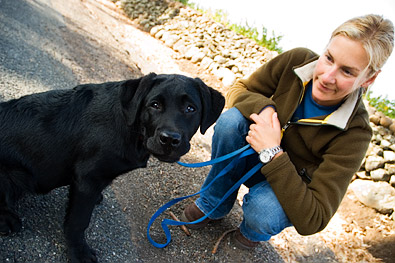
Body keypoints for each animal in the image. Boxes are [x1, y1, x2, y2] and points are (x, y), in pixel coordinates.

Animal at [0, 73, 224, 263]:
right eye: (154, 105)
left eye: (190, 109)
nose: (169, 139)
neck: (133, 129)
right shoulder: (87, 180)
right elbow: (78, 221)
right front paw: (79, 252)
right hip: (15, 176)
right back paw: (7, 219)